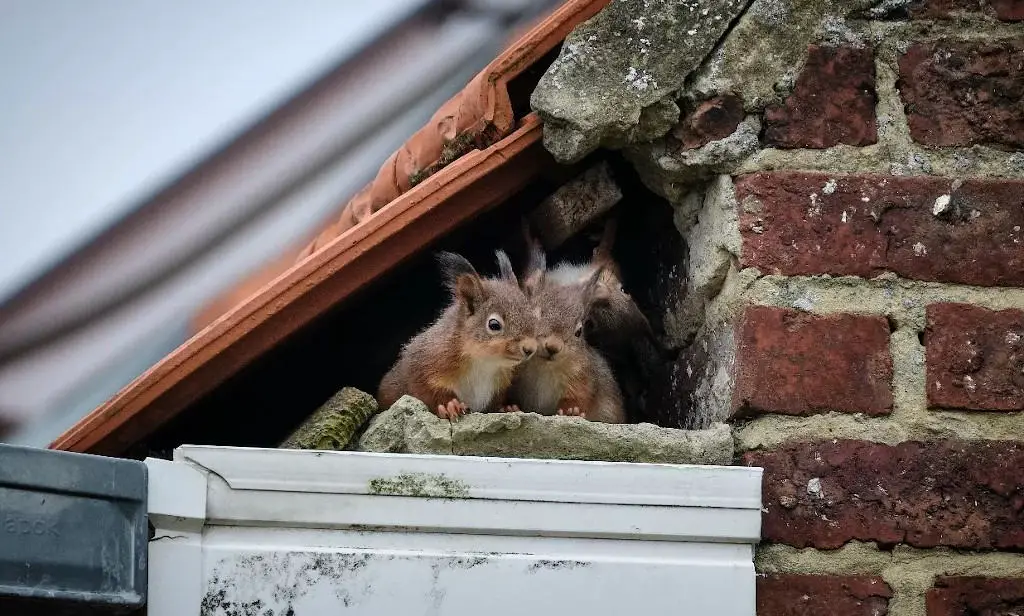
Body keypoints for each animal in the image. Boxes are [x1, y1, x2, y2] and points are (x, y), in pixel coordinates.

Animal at [376, 249, 536, 417]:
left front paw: (507, 407)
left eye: (532, 315)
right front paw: (449, 405)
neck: (484, 363)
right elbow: (424, 390)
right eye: (494, 325)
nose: (530, 348)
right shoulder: (424, 363)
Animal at [503, 252, 622, 421]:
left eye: (579, 331)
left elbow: (579, 396)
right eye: (532, 316)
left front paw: (571, 410)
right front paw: (509, 407)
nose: (553, 347)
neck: (543, 368)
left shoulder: (581, 376)